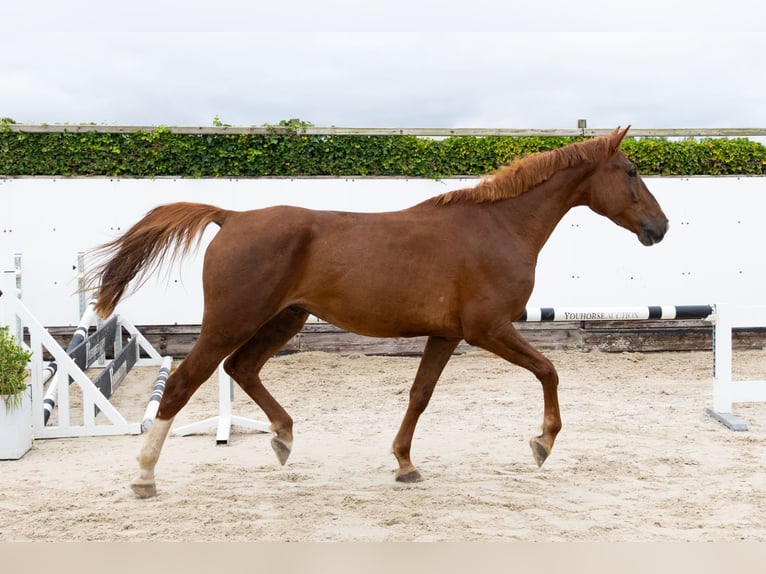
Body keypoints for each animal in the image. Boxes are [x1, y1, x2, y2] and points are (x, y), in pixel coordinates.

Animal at [84, 126, 668, 498]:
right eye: (631, 171)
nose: (659, 228)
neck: (498, 227)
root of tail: (232, 216)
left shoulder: (447, 335)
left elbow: (420, 395)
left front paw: (405, 465)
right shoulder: (488, 329)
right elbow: (549, 370)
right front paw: (542, 443)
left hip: (284, 319)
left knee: (241, 368)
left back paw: (283, 437)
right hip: (234, 321)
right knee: (185, 382)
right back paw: (145, 476)